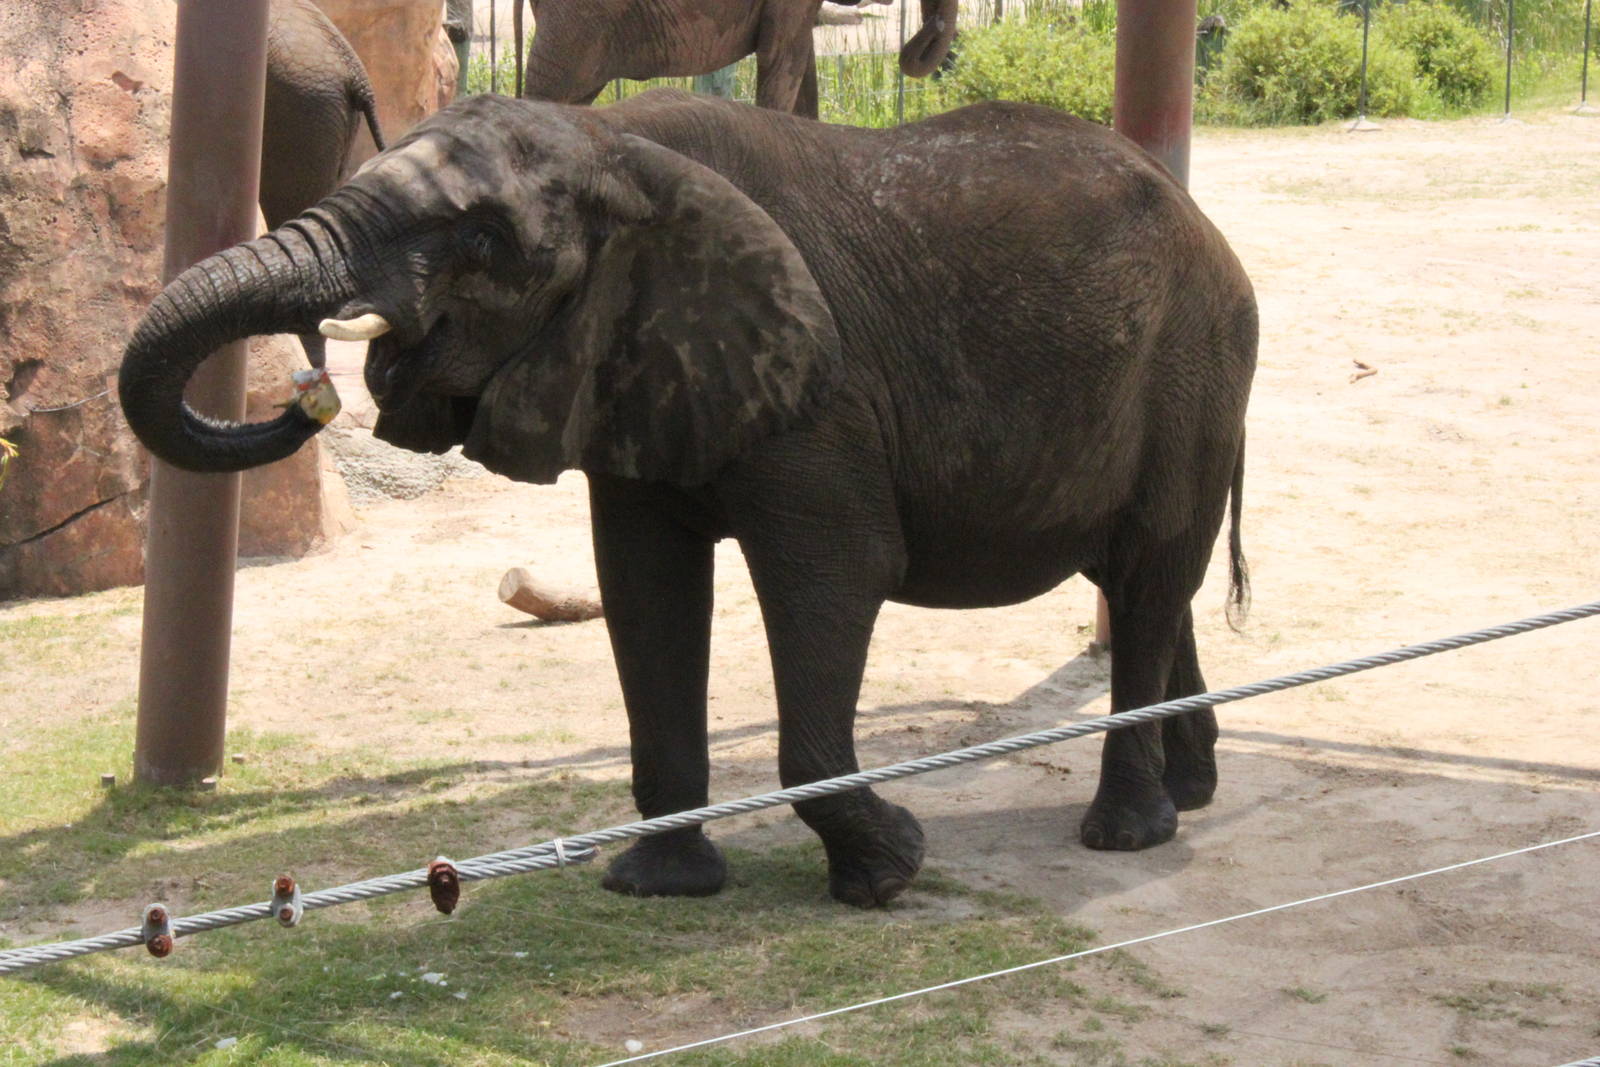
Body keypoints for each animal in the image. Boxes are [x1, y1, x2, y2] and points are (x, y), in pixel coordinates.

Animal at [118, 90, 1258, 907]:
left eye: (481, 243)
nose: (309, 390)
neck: (610, 142)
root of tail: (1205, 221)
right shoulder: (629, 364)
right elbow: (646, 588)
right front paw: (659, 887)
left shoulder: (819, 390)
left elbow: (835, 572)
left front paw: (890, 871)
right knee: (1151, 579)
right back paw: (1192, 790)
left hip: (1195, 363)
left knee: (1151, 571)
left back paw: (1128, 830)